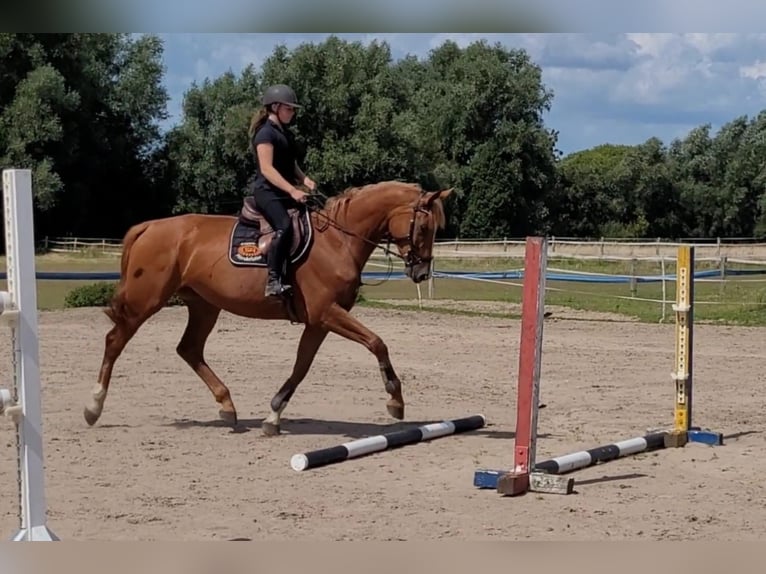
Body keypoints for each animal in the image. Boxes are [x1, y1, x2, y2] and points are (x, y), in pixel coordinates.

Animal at [84, 180, 452, 436]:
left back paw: (227, 407)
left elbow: (301, 367)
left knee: (189, 349)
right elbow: (377, 343)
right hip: (146, 301)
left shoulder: (317, 322)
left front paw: (273, 415)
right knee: (115, 341)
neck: (337, 241)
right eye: (423, 227)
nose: (421, 272)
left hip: (204, 305)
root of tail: (149, 226)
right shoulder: (327, 312)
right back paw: (93, 406)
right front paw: (395, 401)